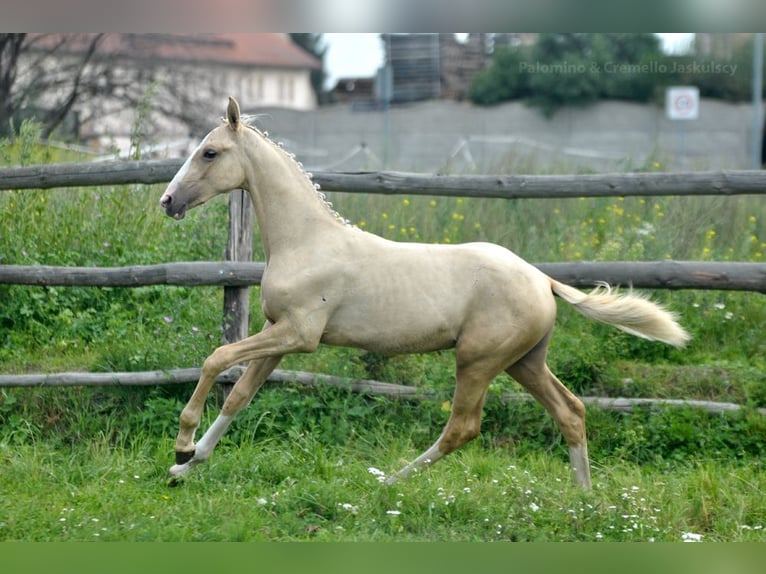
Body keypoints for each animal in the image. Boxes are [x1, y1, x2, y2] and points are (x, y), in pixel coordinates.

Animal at [160, 97, 688, 488]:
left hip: (477, 361)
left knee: (463, 428)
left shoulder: (298, 335)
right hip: (524, 361)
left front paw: (182, 445)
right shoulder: (278, 334)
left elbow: (216, 358)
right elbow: (239, 396)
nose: (167, 201)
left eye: (210, 153)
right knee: (571, 412)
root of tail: (543, 280)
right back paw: (583, 500)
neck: (306, 241)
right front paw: (186, 467)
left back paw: (388, 482)